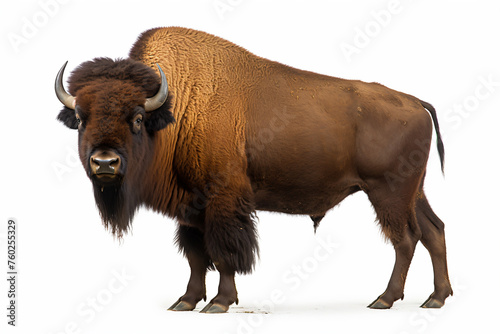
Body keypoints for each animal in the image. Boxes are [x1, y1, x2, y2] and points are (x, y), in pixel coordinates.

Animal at [55, 26, 454, 314]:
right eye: (81, 118)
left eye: (137, 118)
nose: (105, 163)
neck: (176, 110)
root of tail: (415, 102)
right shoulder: (190, 208)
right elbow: (196, 255)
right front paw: (184, 302)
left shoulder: (222, 201)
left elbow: (224, 252)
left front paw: (218, 303)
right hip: (413, 191)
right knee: (433, 231)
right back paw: (436, 298)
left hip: (388, 192)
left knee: (406, 239)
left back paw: (384, 299)